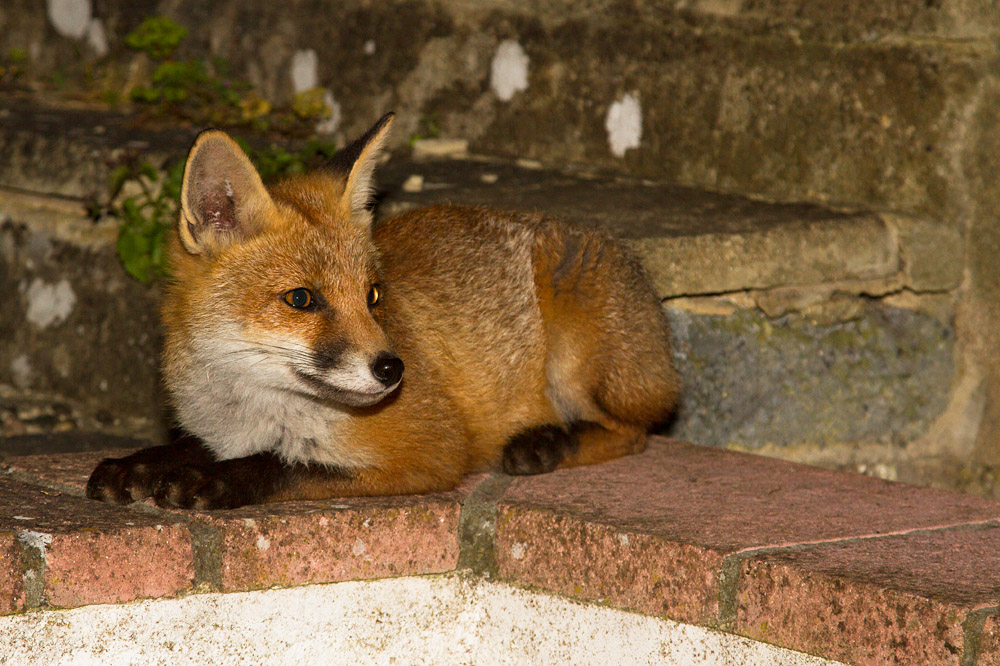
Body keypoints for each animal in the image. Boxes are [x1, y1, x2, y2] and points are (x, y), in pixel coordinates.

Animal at [86, 113, 680, 509]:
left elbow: (285, 466)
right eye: (301, 299)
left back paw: (545, 444)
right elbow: (190, 447)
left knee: (632, 432)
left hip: (574, 360)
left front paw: (219, 479)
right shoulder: (216, 430)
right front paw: (144, 463)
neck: (253, 408)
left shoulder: (430, 451)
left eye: (373, 295)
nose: (393, 370)